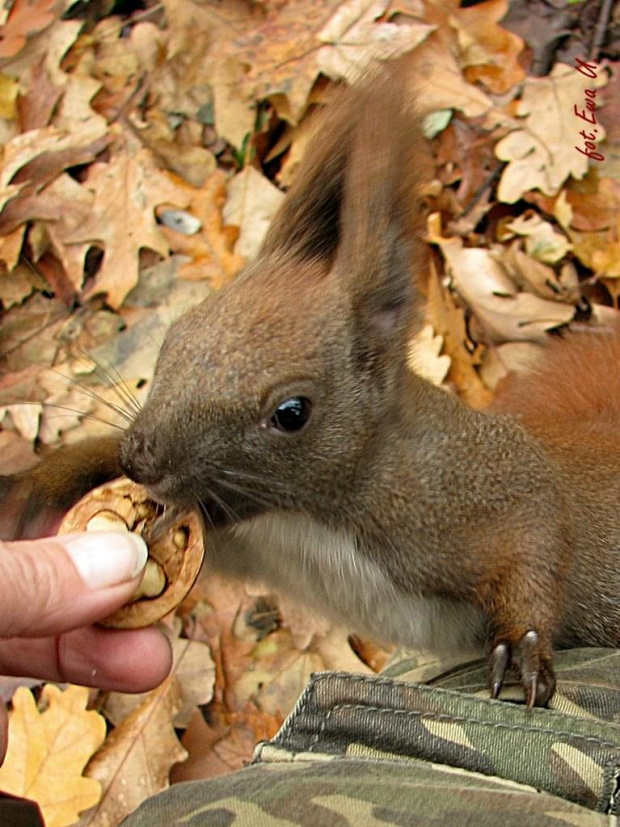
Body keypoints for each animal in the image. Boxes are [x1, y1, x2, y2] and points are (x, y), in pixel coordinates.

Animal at [1, 58, 620, 708]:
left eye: (292, 412)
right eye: (174, 336)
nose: (140, 457)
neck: (309, 518)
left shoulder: (481, 485)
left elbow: (539, 534)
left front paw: (523, 645)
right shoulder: (238, 534)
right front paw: (47, 480)